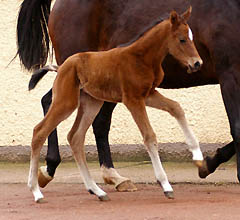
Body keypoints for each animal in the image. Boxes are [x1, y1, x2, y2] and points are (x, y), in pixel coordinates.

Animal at [16, 0, 240, 189]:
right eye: (183, 39)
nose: (196, 63)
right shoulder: (229, 73)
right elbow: (236, 127)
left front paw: (208, 163)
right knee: (52, 103)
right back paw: (50, 168)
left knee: (95, 120)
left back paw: (111, 176)